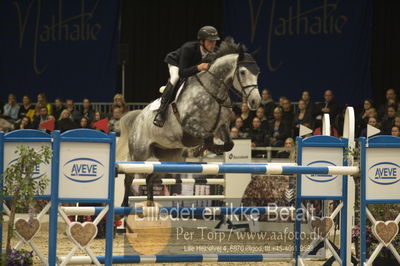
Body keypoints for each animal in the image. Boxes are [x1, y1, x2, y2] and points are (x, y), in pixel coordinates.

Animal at [115, 38, 262, 207]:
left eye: (258, 72)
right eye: (243, 72)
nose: (255, 101)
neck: (213, 91)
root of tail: (138, 117)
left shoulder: (222, 125)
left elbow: (228, 144)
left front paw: (206, 149)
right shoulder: (189, 123)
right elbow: (208, 137)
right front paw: (202, 149)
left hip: (170, 158)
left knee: (150, 178)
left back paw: (150, 205)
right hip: (139, 153)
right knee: (129, 177)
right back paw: (124, 206)